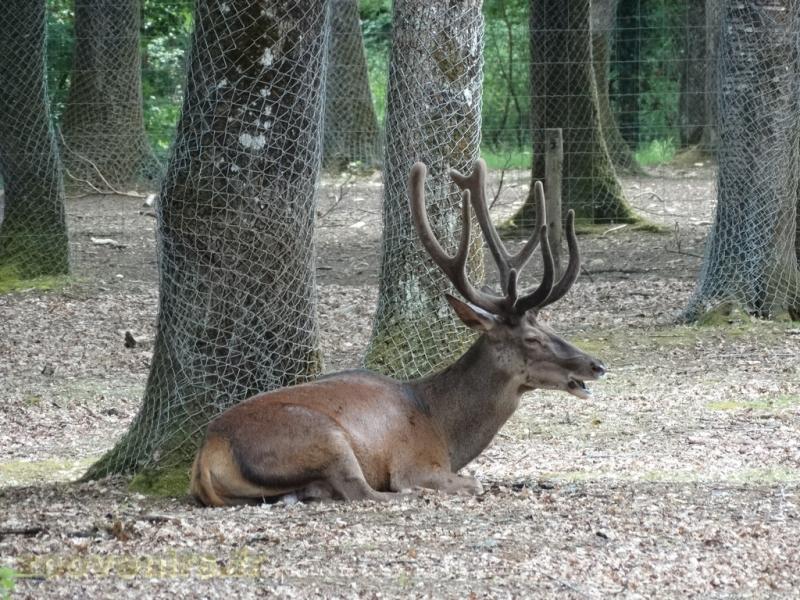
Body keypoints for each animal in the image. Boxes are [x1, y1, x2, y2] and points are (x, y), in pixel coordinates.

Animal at [191, 159, 606, 506]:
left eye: (550, 325)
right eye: (531, 339)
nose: (597, 365)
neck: (443, 428)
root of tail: (207, 455)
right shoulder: (415, 461)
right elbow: (470, 481)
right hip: (324, 436)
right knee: (363, 492)